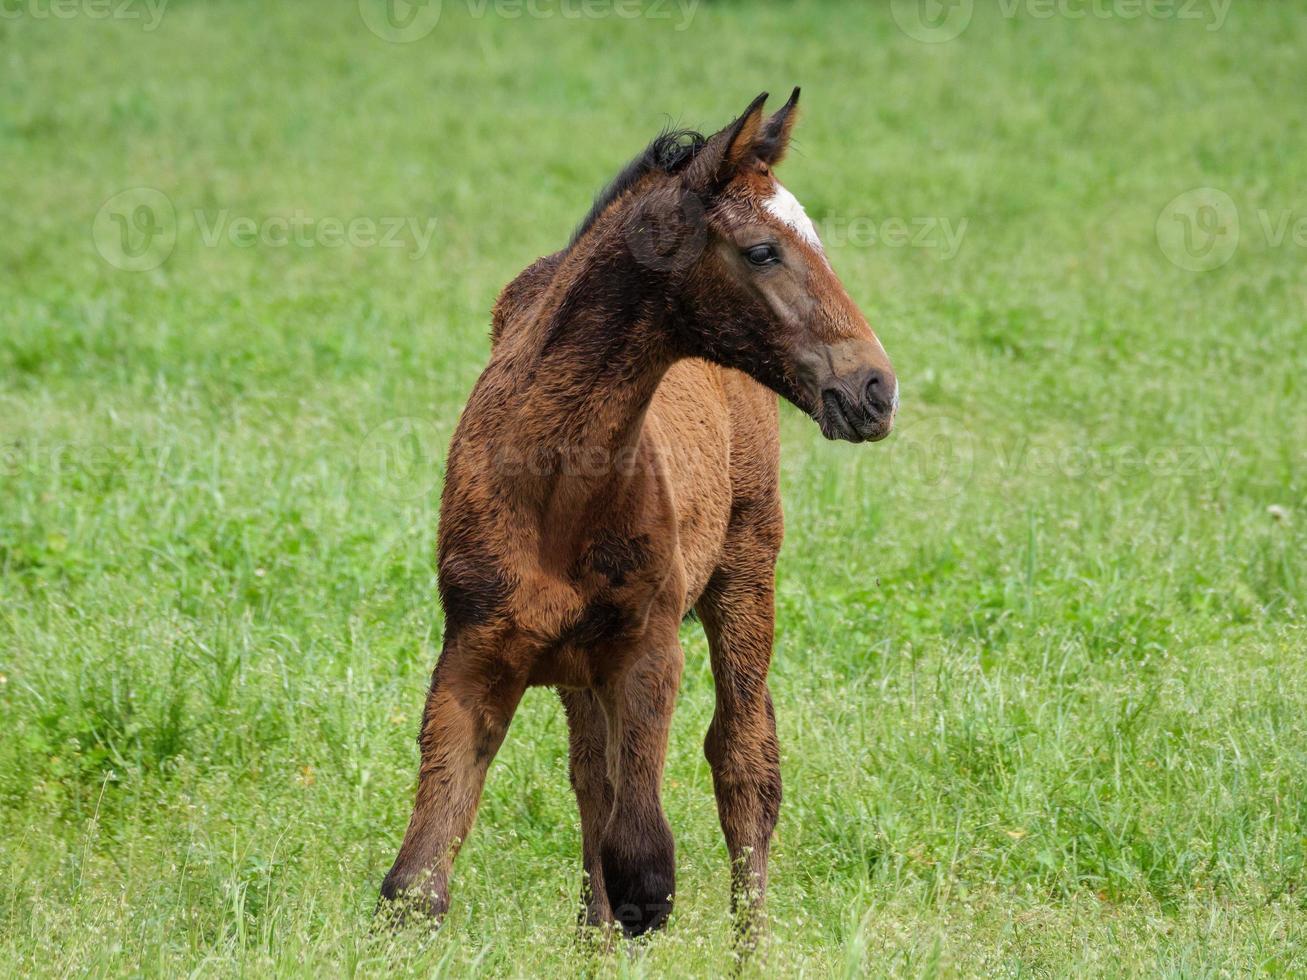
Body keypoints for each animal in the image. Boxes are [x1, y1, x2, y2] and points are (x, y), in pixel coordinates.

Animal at [379, 94, 899, 946]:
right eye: (762, 251)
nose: (874, 389)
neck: (554, 488)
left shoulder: (649, 648)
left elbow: (645, 870)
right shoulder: (474, 651)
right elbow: (415, 883)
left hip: (745, 570)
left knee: (744, 761)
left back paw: (749, 949)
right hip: (578, 665)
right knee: (594, 777)